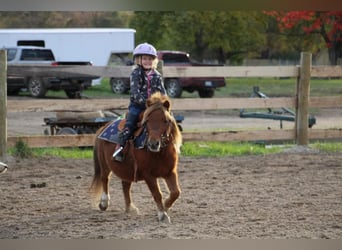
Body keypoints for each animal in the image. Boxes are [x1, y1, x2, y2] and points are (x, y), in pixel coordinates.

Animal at [90, 92, 182, 223]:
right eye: (147, 121)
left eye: (166, 121)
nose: (153, 144)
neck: (159, 153)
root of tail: (103, 127)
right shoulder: (148, 175)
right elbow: (157, 193)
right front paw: (162, 214)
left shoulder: (170, 172)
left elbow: (175, 192)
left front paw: (165, 206)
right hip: (104, 164)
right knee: (104, 178)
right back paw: (104, 203)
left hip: (126, 169)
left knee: (125, 185)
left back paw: (130, 208)